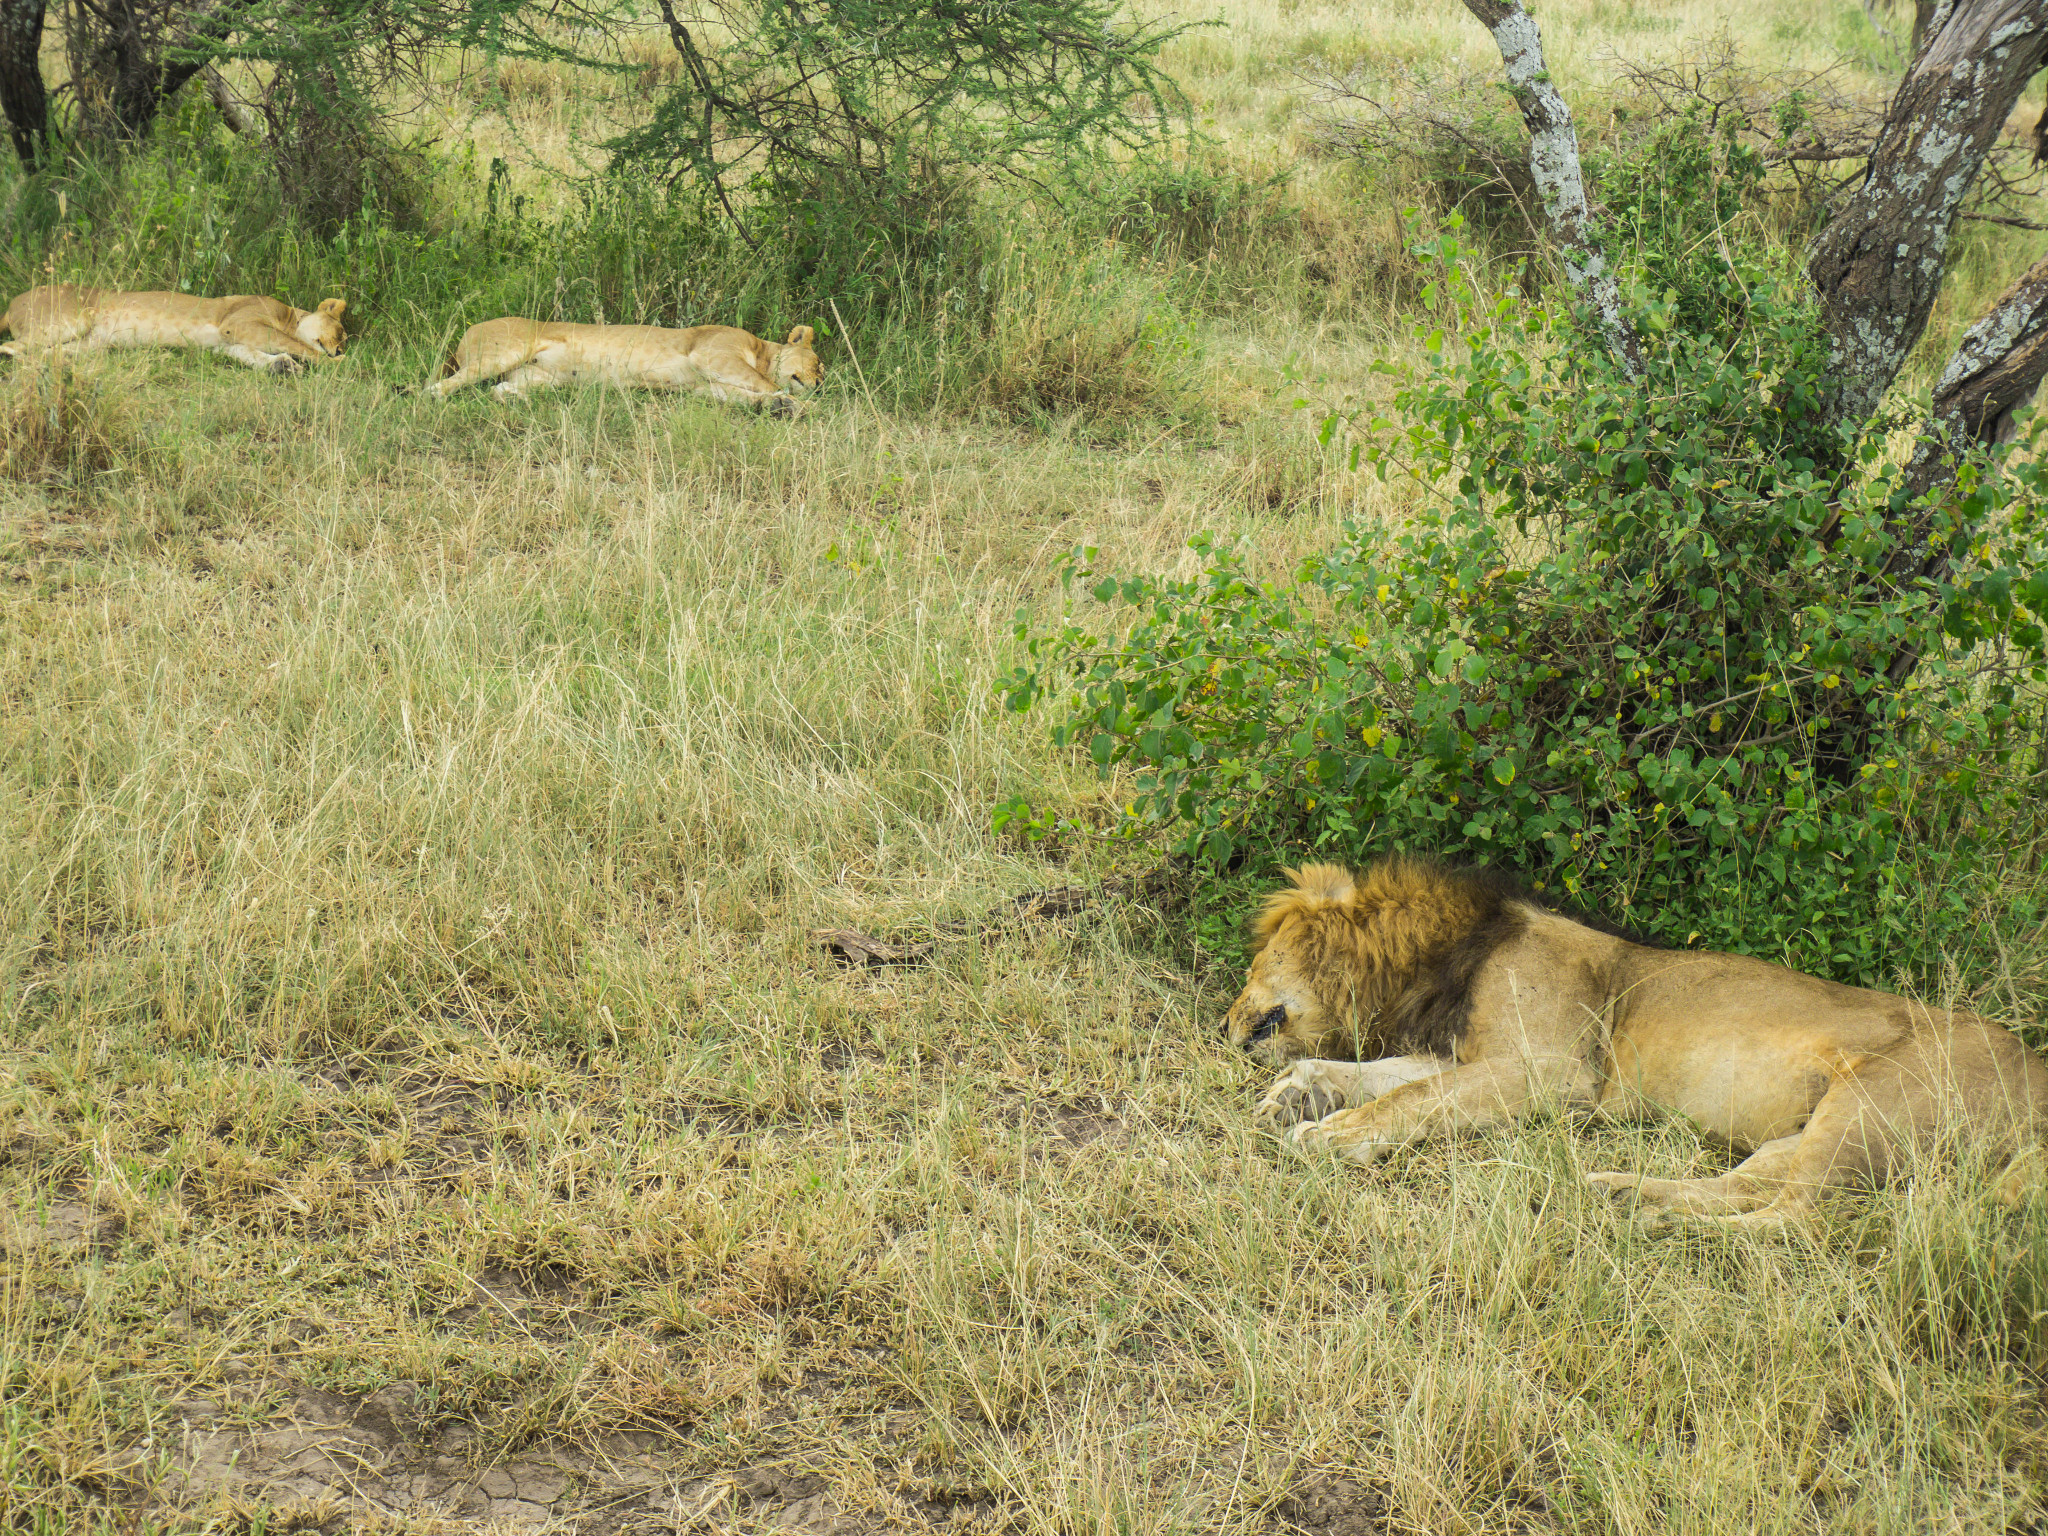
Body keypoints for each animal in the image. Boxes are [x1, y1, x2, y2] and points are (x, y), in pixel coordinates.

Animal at [0, 286, 348, 374]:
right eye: (340, 332)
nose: (341, 348)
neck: (290, 315)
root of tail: (11, 302)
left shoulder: (228, 343)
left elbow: (255, 357)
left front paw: (283, 366)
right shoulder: (239, 323)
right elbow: (297, 343)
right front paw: (336, 363)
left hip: (90, 342)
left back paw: (62, 364)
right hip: (73, 320)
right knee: (11, 349)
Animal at [1220, 860, 2039, 1236]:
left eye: (1255, 965)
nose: (1224, 1030)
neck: (1438, 962)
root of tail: (2039, 1070)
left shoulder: (1551, 1071)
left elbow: (1409, 1097)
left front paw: (1331, 1138)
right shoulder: (1471, 1055)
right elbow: (1377, 1076)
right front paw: (1298, 1094)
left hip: (1873, 1104)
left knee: (1796, 1219)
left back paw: (1664, 1227)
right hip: (1819, 1128)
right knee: (1751, 1187)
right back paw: (1622, 1192)